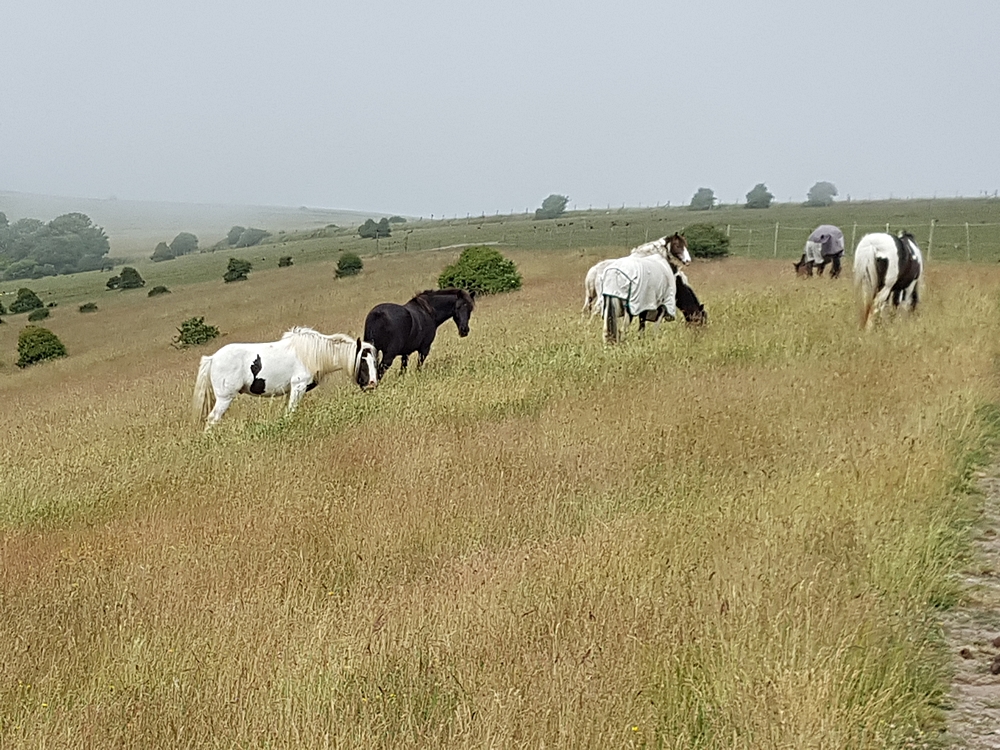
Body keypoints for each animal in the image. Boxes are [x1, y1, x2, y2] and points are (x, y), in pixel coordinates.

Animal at [192, 327, 378, 429]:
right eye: (362, 360)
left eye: (374, 360)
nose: (372, 383)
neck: (311, 353)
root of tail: (212, 358)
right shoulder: (298, 386)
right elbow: (291, 412)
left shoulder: (290, 390)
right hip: (225, 398)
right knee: (212, 419)